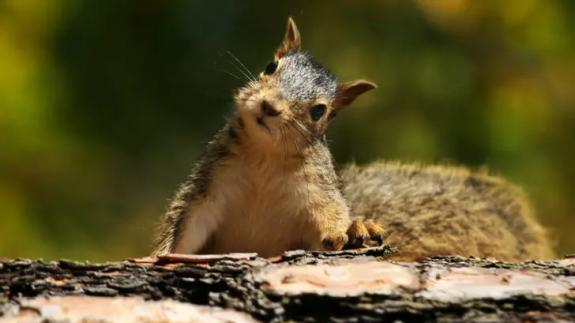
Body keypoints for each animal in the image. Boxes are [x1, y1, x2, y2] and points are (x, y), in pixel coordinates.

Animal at [152, 17, 552, 264]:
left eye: (319, 111)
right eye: (270, 66)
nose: (269, 107)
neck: (266, 157)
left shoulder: (316, 196)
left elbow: (328, 223)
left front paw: (345, 232)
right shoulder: (213, 185)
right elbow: (185, 227)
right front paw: (160, 254)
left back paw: (362, 231)